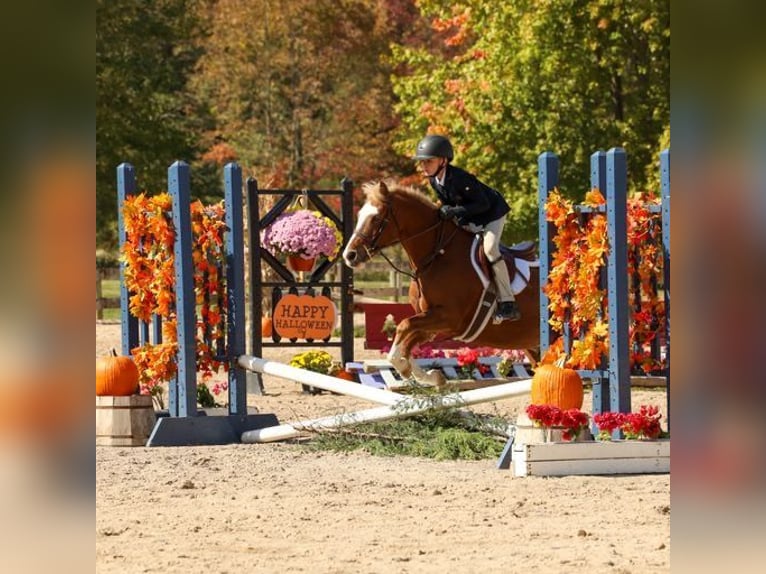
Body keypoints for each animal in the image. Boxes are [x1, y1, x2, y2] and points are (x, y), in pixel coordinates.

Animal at [344, 181, 544, 388]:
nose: (349, 255)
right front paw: (431, 376)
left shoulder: (448, 317)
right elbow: (405, 344)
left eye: (376, 218)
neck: (437, 256)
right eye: (360, 215)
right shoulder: (432, 322)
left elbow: (403, 328)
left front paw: (410, 371)